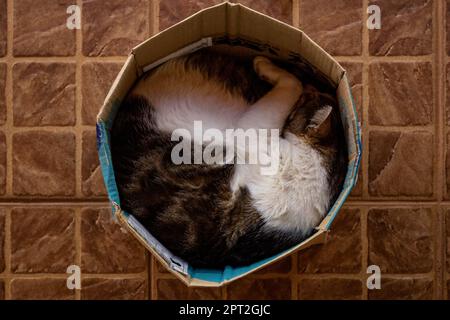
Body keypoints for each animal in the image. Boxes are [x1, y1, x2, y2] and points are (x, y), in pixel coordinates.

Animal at [110, 47, 348, 268]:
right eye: (315, 92)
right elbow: (294, 83)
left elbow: (292, 83)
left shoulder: (252, 133)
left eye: (309, 95)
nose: (313, 85)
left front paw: (264, 65)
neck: (314, 166)